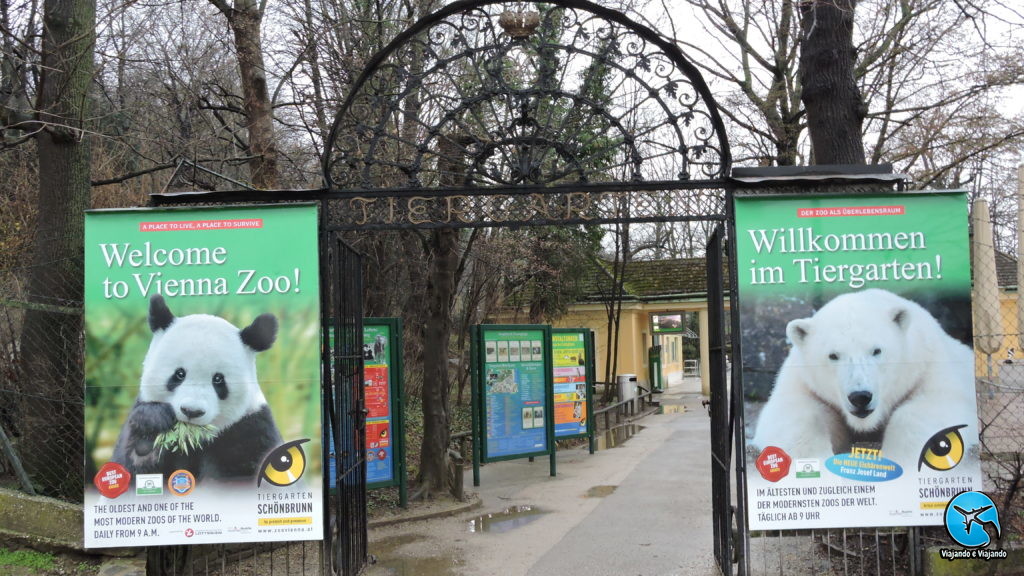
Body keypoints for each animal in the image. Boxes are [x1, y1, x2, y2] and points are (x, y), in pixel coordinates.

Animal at [112, 291, 284, 479]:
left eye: (218, 379)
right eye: (179, 374)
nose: (191, 411)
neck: (193, 439)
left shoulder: (252, 430)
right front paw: (149, 433)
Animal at [753, 286, 974, 467]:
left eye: (876, 350)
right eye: (833, 355)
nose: (860, 397)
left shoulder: (928, 366)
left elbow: (932, 407)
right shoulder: (802, 380)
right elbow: (793, 413)